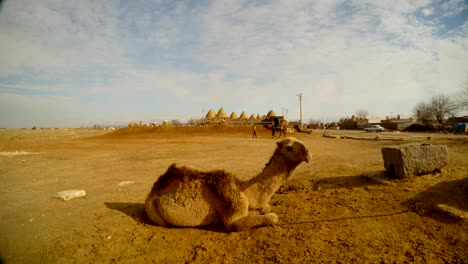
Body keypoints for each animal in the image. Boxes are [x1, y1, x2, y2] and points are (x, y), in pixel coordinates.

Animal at [144, 137, 308, 230]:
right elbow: (271, 217)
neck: (245, 191)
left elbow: (266, 209)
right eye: (289, 147)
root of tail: (153, 191)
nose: (308, 153)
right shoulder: (232, 216)